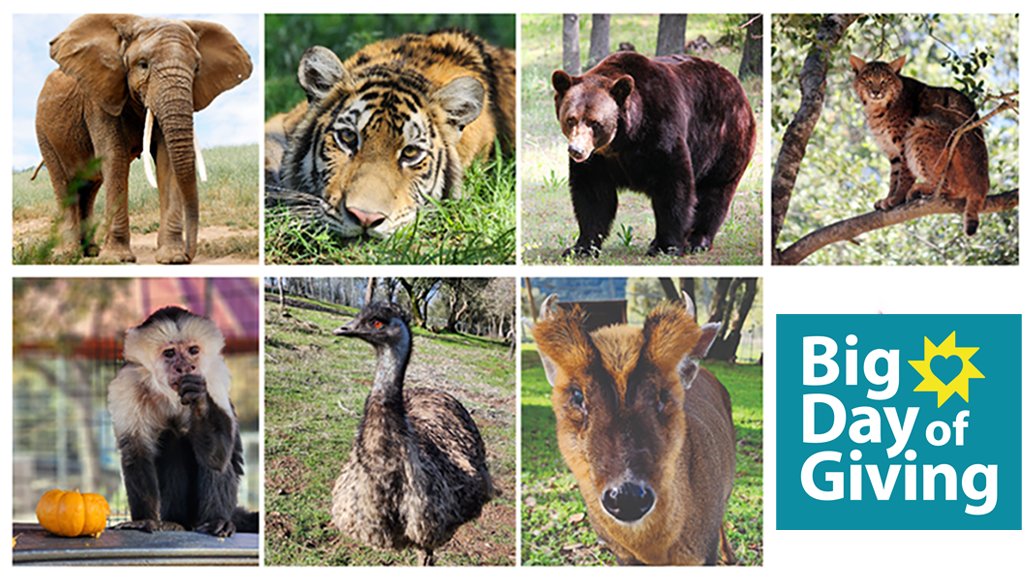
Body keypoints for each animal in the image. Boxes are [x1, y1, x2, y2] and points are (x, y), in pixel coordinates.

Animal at [35, 14, 252, 263]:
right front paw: (117, 259)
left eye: (196, 68)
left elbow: (167, 160)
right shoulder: (98, 100)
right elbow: (114, 158)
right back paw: (68, 255)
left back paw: (90, 252)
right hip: (44, 132)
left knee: (89, 187)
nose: (189, 255)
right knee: (64, 185)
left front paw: (172, 258)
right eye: (142, 65)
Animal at [552, 51, 756, 256]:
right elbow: (593, 196)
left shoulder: (660, 131)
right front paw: (580, 247)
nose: (576, 150)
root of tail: (735, 82)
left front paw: (665, 246)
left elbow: (672, 186)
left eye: (595, 123)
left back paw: (697, 240)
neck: (624, 139)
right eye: (571, 119)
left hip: (723, 139)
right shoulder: (598, 160)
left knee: (714, 191)